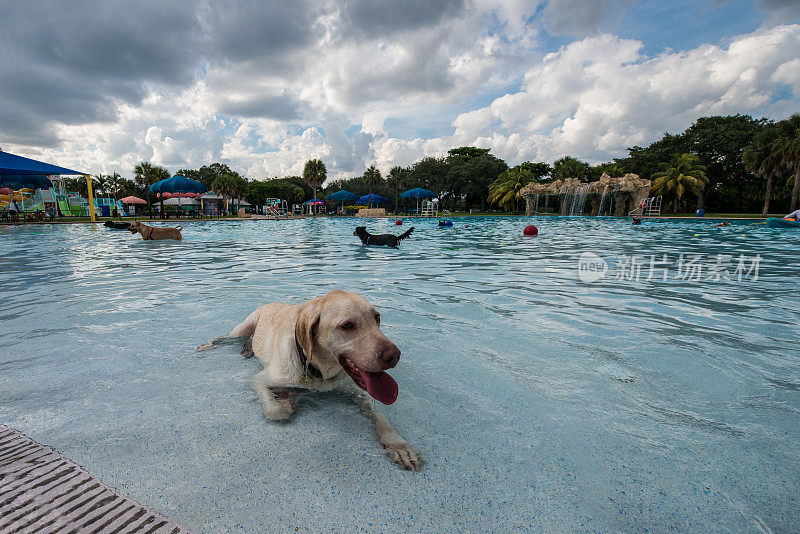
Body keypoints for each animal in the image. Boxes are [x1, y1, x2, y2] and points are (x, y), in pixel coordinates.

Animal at [197, 292, 422, 472]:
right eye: (347, 325)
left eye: (377, 318)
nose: (394, 356)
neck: (317, 371)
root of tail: (269, 302)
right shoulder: (258, 380)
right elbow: (275, 411)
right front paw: (285, 402)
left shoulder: (355, 391)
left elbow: (379, 415)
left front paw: (398, 446)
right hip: (243, 327)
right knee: (226, 336)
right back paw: (211, 345)